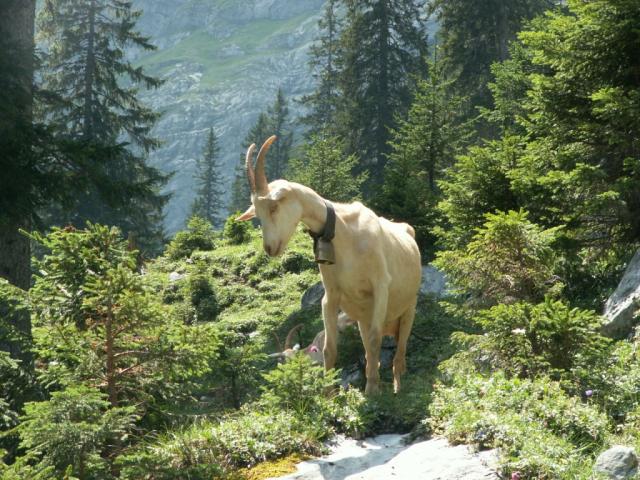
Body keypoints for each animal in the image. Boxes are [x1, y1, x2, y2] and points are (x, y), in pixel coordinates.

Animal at [237, 136, 422, 394]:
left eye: (274, 207)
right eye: (258, 215)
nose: (270, 248)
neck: (344, 232)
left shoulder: (380, 287)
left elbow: (375, 339)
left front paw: (372, 391)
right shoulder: (332, 295)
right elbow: (329, 348)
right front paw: (327, 394)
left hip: (408, 309)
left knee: (399, 351)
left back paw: (397, 387)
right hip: (363, 317)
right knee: (369, 348)